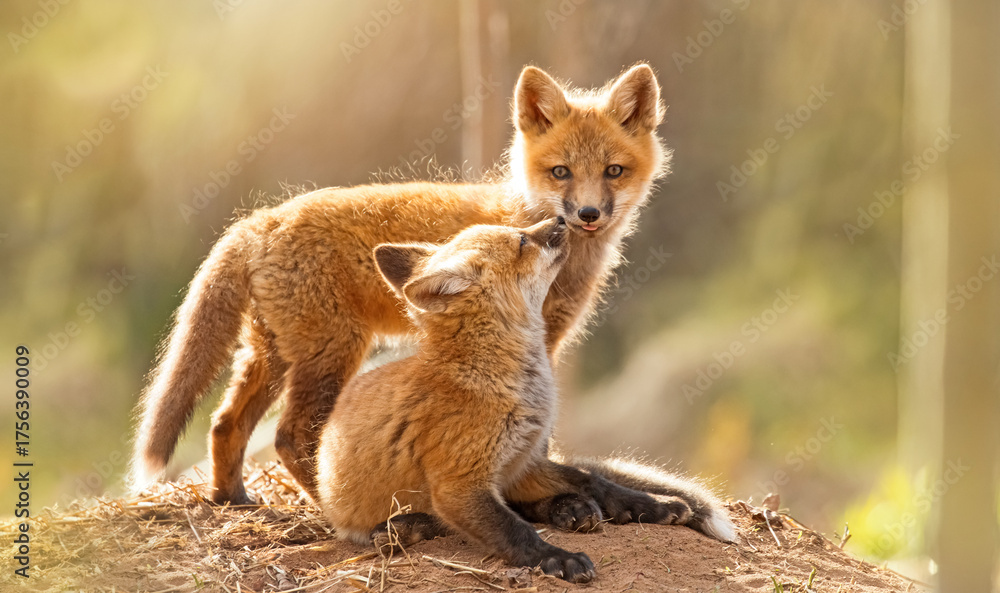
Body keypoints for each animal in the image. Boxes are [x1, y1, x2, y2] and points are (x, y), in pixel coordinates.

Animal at [132, 63, 671, 505]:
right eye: (561, 172)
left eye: (613, 171)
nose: (588, 215)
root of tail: (261, 220)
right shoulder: (531, 340)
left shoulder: (544, 339)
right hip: (333, 351)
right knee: (290, 436)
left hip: (275, 355)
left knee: (226, 424)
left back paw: (232, 499)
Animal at [318, 218, 734, 583]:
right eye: (521, 241)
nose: (564, 219)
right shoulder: (459, 485)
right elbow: (515, 531)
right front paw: (558, 558)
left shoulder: (523, 461)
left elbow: (594, 480)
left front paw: (652, 504)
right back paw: (408, 526)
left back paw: (571, 509)